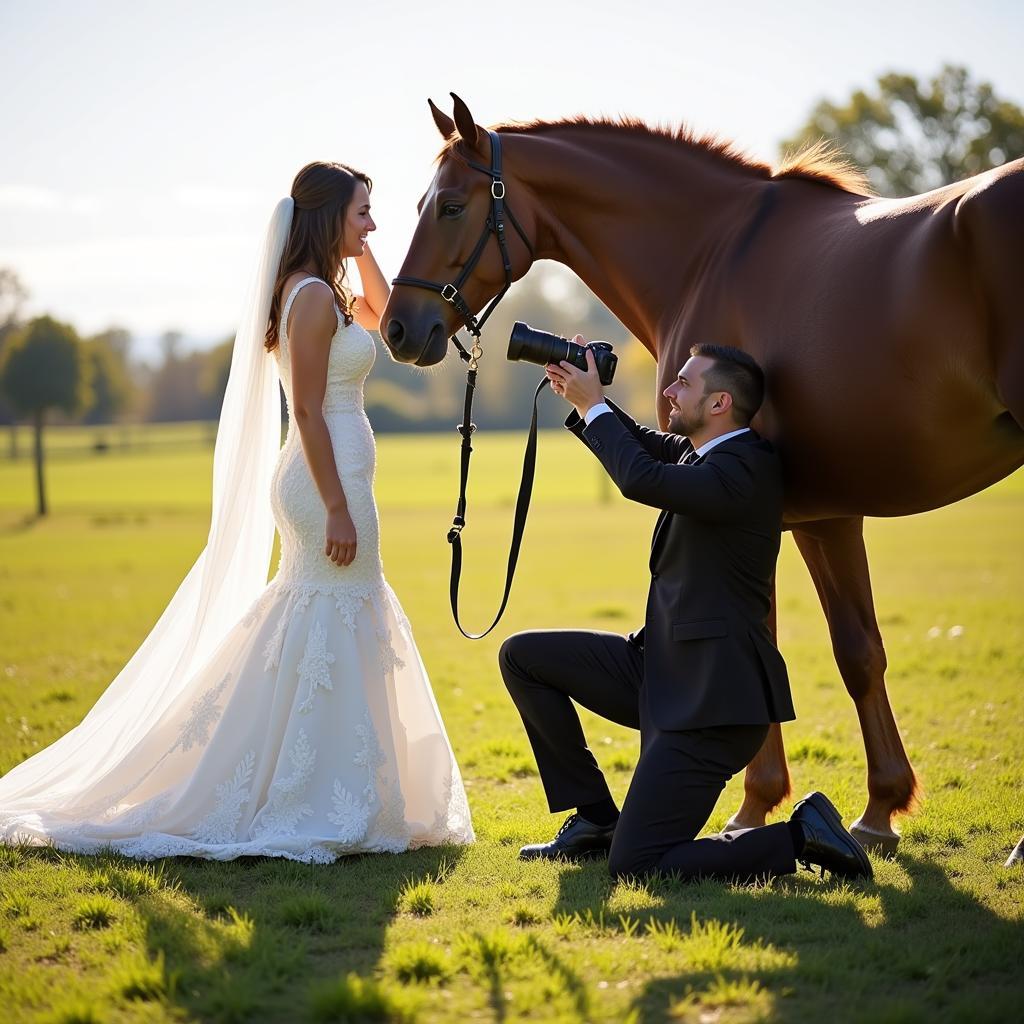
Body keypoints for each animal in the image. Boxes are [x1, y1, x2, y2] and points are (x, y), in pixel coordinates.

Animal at [380, 94, 1024, 856]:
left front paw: (755, 807)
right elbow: (858, 652)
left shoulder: (768, 508)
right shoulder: (824, 513)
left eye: (451, 205)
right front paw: (876, 810)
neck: (710, 252)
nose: (396, 329)